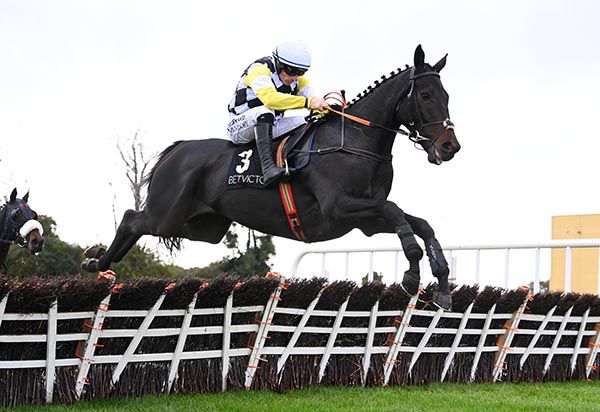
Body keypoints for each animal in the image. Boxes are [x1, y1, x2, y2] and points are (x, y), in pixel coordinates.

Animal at [83, 45, 460, 308]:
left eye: (447, 95)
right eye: (425, 95)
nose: (450, 146)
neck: (354, 141)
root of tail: (176, 150)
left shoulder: (366, 216)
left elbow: (421, 223)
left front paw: (441, 284)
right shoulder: (340, 209)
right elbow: (398, 213)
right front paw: (412, 275)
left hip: (203, 227)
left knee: (141, 224)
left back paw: (98, 262)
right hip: (167, 215)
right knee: (130, 218)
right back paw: (97, 262)